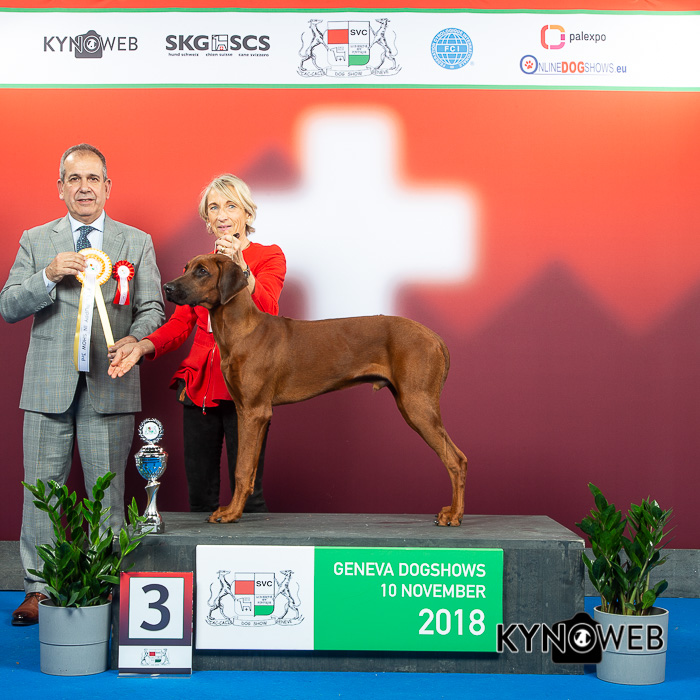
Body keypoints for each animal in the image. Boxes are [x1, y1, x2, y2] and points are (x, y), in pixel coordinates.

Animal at [163, 254, 468, 526]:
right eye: (186, 268)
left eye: (202, 271)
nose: (167, 287)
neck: (242, 330)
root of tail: (434, 336)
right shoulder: (251, 412)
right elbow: (248, 470)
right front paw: (234, 509)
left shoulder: (253, 411)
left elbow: (240, 468)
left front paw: (230, 514)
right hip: (412, 405)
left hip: (417, 405)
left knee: (456, 459)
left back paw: (454, 515)